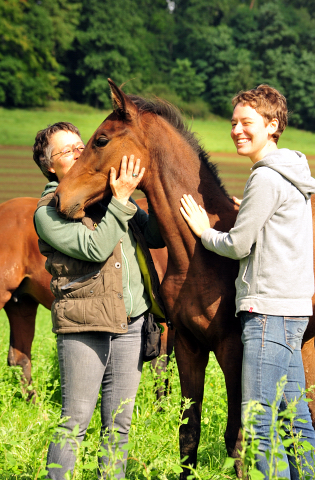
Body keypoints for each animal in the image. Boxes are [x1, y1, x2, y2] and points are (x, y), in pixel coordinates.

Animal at [53, 79, 315, 476]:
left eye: (101, 140)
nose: (60, 199)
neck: (197, 257)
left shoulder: (234, 349)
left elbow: (237, 439)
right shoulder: (189, 346)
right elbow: (188, 432)